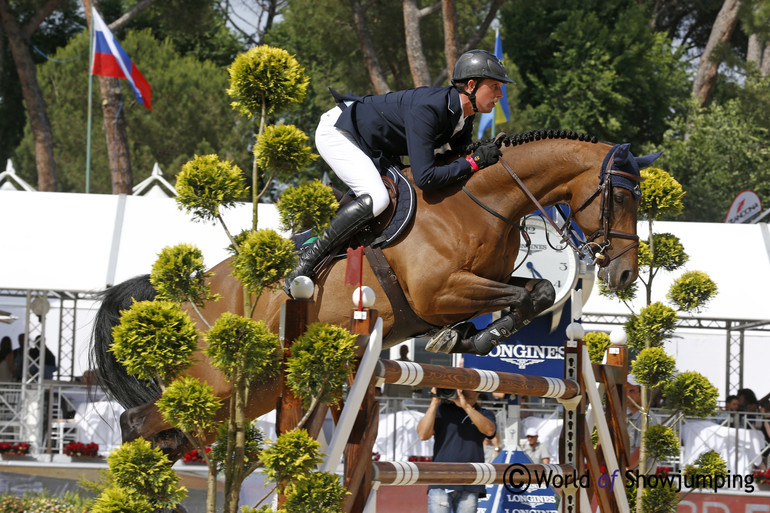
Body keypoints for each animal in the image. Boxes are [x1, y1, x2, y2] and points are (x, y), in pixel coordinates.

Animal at [91, 130, 656, 458]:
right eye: (622, 195)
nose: (626, 274)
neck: (481, 200)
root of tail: (183, 293)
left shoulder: (477, 286)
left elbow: (534, 291)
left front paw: (470, 339)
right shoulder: (439, 293)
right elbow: (525, 295)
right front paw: (465, 338)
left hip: (255, 390)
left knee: (171, 432)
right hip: (218, 380)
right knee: (137, 421)